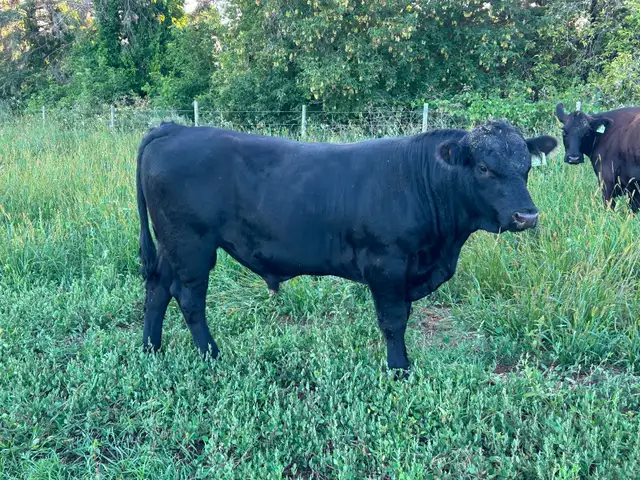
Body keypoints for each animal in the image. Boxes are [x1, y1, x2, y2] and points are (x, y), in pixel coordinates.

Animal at [136, 120, 557, 371]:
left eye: (526, 168)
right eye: (484, 168)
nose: (526, 216)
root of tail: (173, 128)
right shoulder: (387, 264)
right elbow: (393, 320)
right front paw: (399, 369)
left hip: (171, 245)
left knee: (157, 289)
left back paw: (152, 348)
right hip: (192, 245)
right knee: (189, 298)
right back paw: (211, 355)